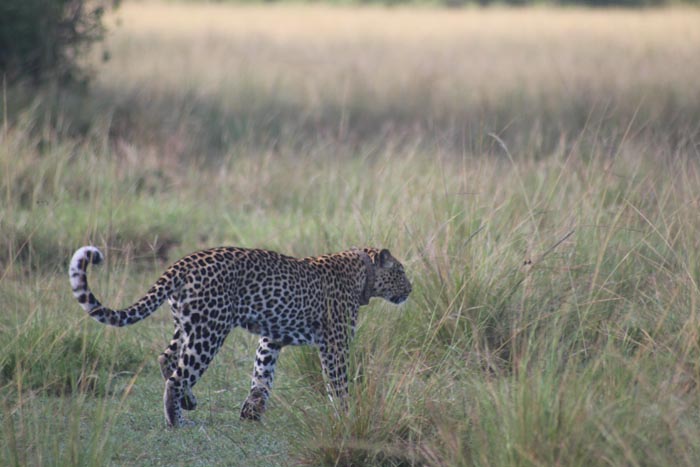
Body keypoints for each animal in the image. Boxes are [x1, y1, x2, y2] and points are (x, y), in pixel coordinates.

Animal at [67, 245, 410, 428]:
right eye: (401, 272)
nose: (411, 288)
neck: (362, 273)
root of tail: (182, 262)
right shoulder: (335, 344)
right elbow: (338, 383)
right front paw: (347, 415)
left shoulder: (272, 338)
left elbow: (262, 375)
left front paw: (251, 412)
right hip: (210, 330)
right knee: (178, 375)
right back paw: (177, 420)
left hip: (186, 325)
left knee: (167, 358)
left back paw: (188, 401)